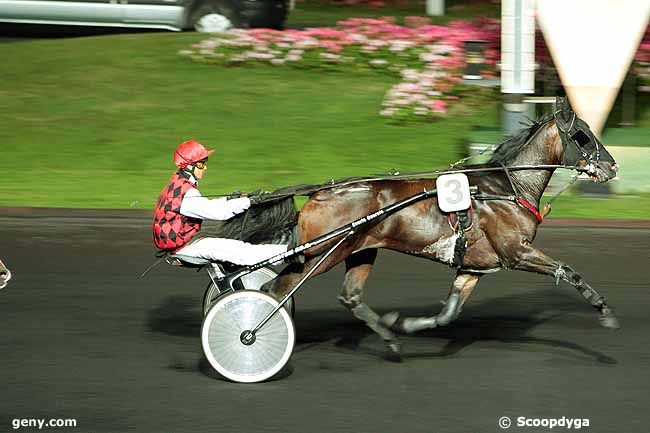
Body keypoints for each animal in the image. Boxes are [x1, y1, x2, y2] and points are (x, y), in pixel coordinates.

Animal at [268, 98, 616, 358]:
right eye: (582, 134)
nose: (611, 167)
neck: (508, 186)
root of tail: (319, 192)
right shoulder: (516, 253)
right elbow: (568, 270)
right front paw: (604, 309)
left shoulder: (473, 267)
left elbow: (448, 313)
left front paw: (404, 325)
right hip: (323, 253)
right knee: (277, 288)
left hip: (360, 251)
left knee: (349, 296)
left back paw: (390, 339)